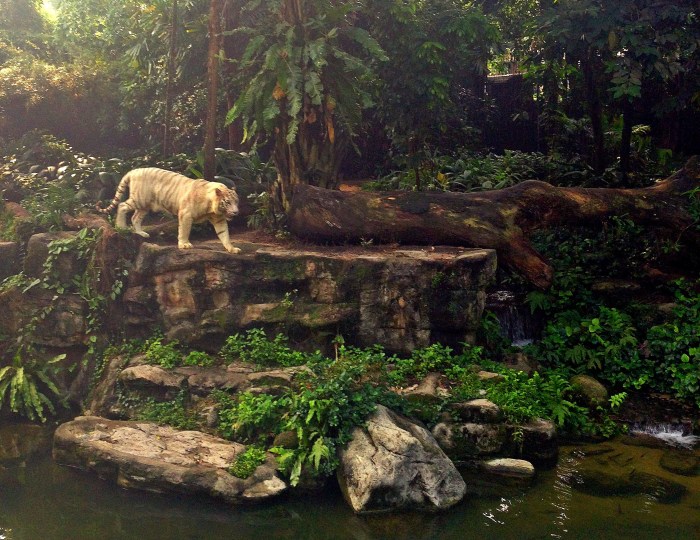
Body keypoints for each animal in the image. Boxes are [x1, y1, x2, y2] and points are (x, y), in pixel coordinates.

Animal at [96, 167, 241, 253]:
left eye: (236, 202)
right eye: (228, 202)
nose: (236, 212)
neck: (212, 208)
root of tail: (135, 170)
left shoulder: (219, 219)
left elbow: (224, 234)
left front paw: (232, 248)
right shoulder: (186, 215)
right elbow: (184, 231)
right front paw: (184, 245)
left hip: (145, 206)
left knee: (135, 217)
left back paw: (141, 233)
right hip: (139, 199)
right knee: (122, 206)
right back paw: (121, 227)